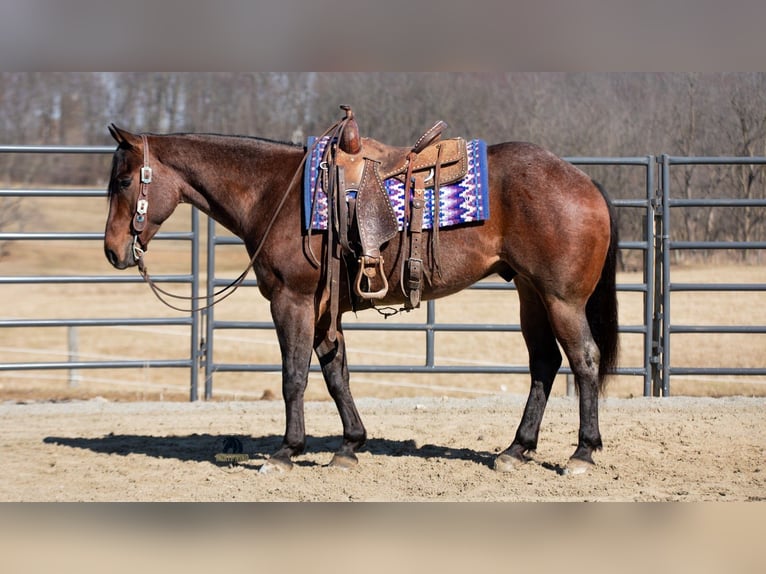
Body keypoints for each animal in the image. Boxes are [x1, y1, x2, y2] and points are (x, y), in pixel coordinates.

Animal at [103, 115, 619, 476]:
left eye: (124, 181)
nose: (112, 250)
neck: (275, 192)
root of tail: (583, 181)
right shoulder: (321, 310)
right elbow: (337, 376)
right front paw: (350, 445)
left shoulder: (291, 302)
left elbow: (294, 377)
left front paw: (286, 451)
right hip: (531, 295)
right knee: (545, 364)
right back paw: (516, 449)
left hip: (561, 300)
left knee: (584, 360)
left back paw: (582, 452)